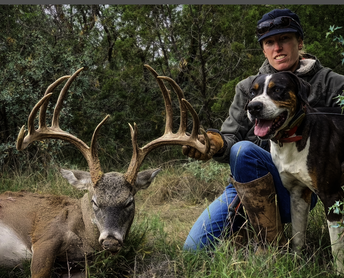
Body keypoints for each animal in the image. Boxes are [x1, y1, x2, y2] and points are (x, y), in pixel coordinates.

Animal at [246, 71, 344, 274]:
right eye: (252, 92)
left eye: (277, 90)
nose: (253, 107)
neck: (292, 136)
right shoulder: (298, 194)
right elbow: (297, 236)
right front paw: (297, 265)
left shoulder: (332, 197)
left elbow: (337, 249)